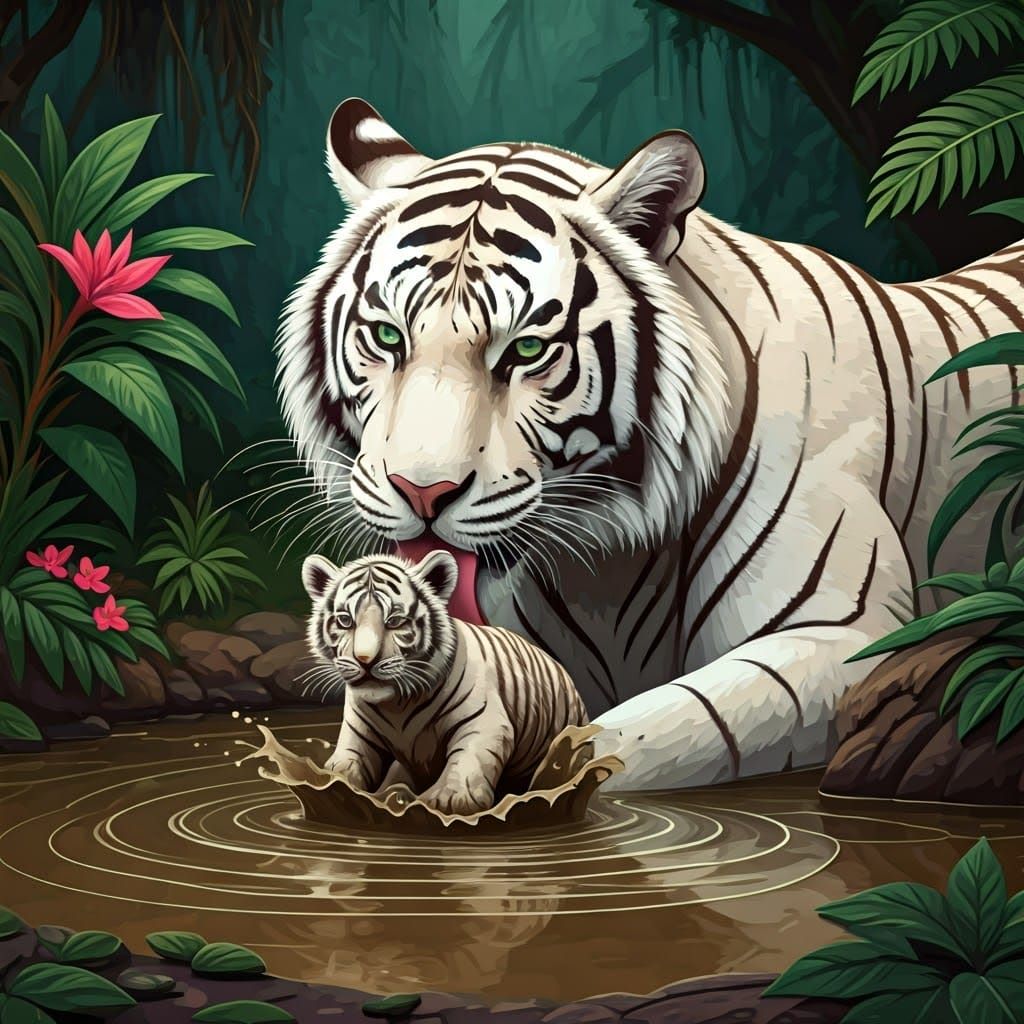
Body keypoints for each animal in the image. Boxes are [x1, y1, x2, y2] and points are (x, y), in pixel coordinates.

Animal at [301, 549, 589, 816]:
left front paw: (450, 800)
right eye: (345, 620)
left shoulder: (483, 720)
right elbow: (348, 759)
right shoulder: (358, 728)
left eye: (394, 621)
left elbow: (468, 757)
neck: (396, 705)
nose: (365, 660)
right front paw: (332, 784)